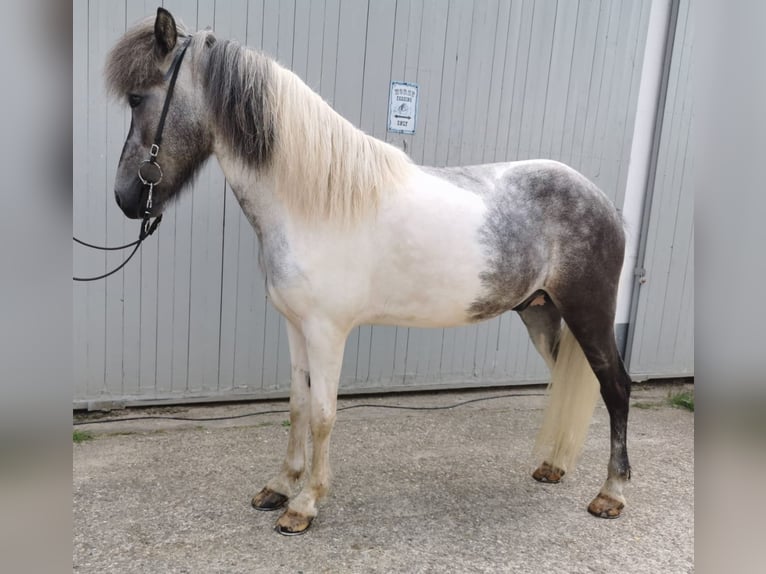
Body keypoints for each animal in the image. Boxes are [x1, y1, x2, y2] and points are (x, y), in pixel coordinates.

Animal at [106, 9, 636, 536]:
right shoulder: (296, 326)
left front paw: (304, 504)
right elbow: (297, 406)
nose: (125, 199)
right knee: (569, 381)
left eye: (137, 97)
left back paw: (610, 494)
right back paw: (553, 466)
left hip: (588, 311)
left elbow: (323, 414)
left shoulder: (326, 331)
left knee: (615, 387)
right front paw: (279, 486)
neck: (311, 204)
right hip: (540, 312)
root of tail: (603, 201)